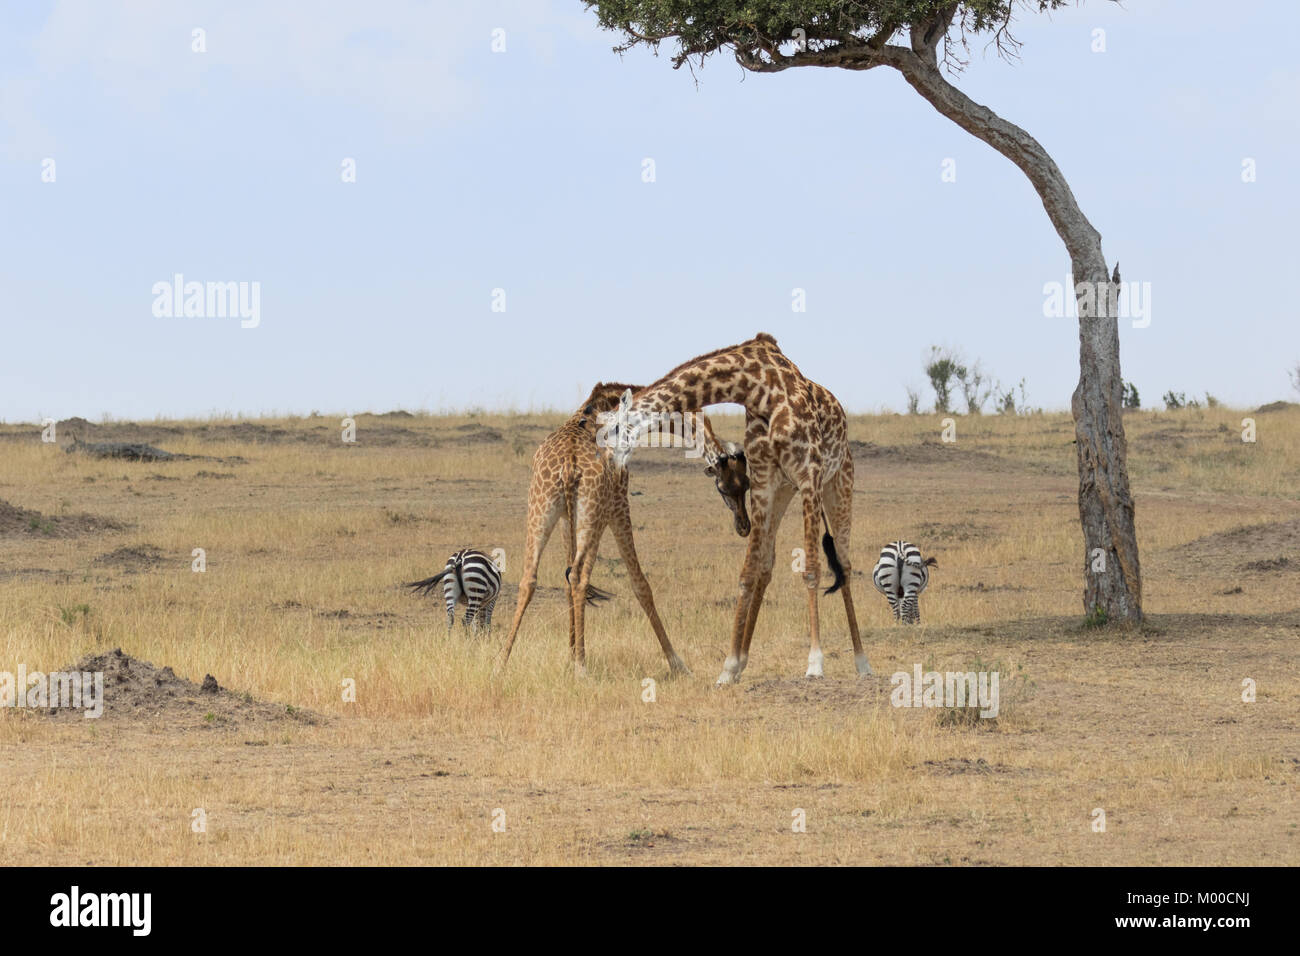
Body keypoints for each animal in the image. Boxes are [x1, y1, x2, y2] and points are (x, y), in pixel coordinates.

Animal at [493, 377, 754, 676]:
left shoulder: (567, 518)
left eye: (746, 484)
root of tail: (569, 465)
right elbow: (640, 584)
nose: (744, 526)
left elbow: (567, 575)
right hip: (590, 511)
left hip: (541, 509)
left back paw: (502, 663)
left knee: (531, 578)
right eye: (724, 487)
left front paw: (569, 654)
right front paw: (677, 663)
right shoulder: (617, 505)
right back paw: (582, 667)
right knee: (579, 577)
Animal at [603, 332, 868, 686]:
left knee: (845, 563)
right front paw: (729, 667)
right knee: (767, 566)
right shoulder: (764, 485)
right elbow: (748, 574)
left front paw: (814, 663)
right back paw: (743, 662)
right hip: (784, 492)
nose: (608, 462)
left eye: (613, 430)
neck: (760, 389)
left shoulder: (808, 477)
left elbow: (811, 570)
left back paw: (862, 661)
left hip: (838, 484)